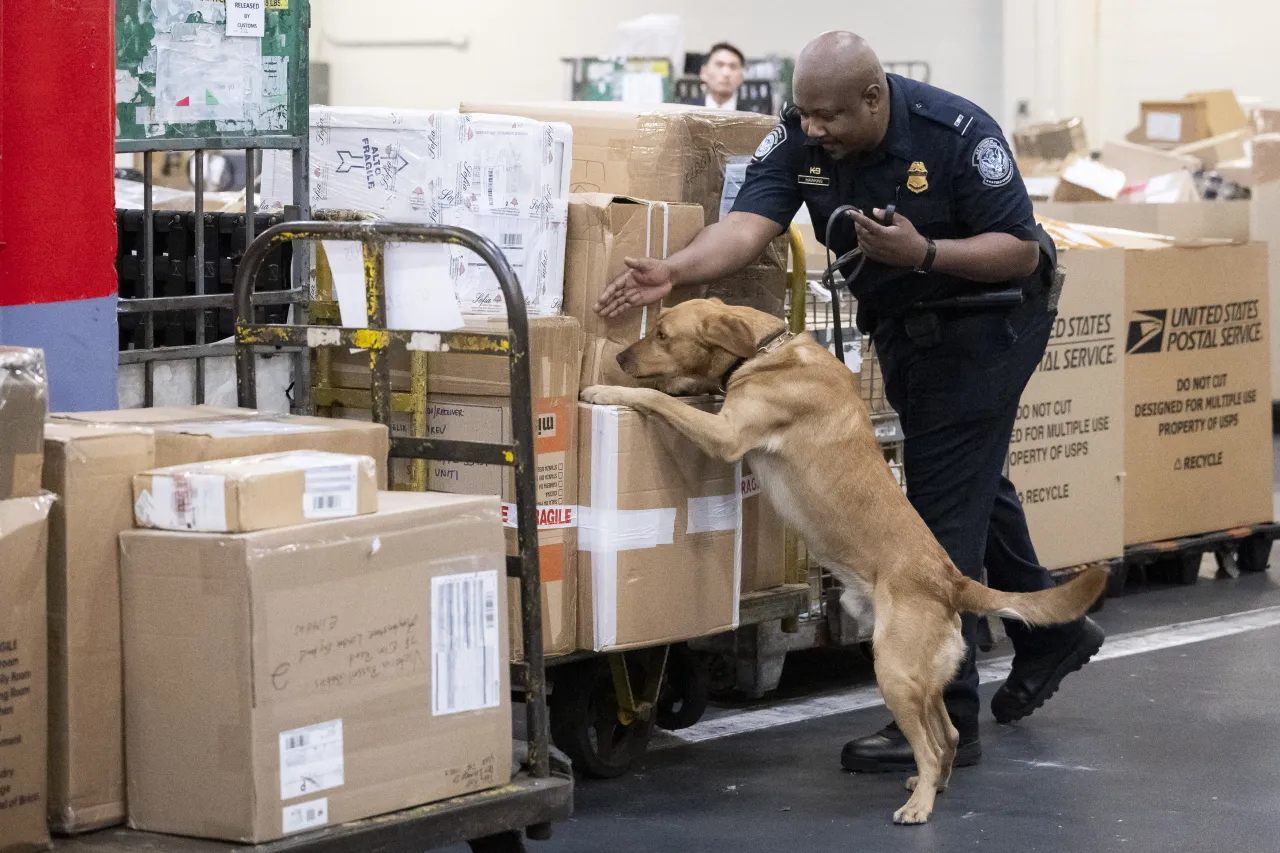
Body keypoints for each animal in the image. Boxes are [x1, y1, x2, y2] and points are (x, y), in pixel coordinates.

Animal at [583, 298, 1111, 824]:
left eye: (663, 336)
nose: (621, 357)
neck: (766, 352)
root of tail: (952, 580)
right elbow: (672, 395)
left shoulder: (727, 434)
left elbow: (658, 399)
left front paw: (605, 388)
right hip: (919, 675)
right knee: (950, 735)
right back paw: (931, 785)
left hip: (893, 670)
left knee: (932, 746)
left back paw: (918, 806)